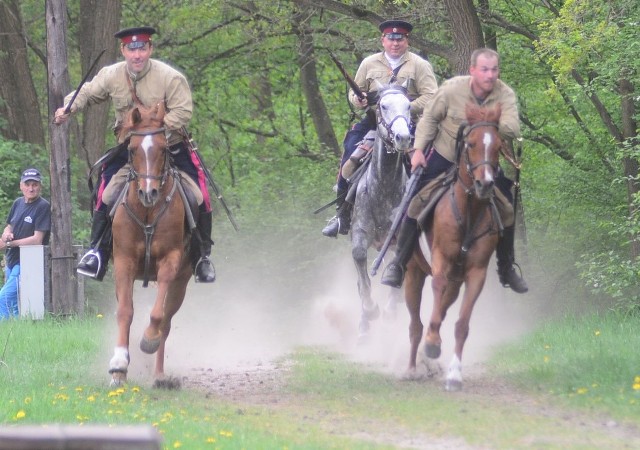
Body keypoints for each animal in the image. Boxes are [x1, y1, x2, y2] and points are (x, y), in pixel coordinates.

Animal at [107, 101, 191, 386]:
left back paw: (159, 374)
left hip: (181, 284)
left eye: (164, 149)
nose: (148, 192)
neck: (147, 212)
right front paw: (119, 365)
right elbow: (124, 311)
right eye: (132, 149)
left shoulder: (171, 260)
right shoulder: (123, 262)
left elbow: (158, 316)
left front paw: (148, 340)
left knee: (166, 321)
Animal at [408, 103, 508, 390]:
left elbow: (461, 325)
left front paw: (454, 374)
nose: (485, 184)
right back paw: (411, 367)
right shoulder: (440, 260)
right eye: (471, 143)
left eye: (498, 146)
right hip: (413, 274)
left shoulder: (476, 273)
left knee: (441, 310)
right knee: (415, 324)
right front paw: (432, 344)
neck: (470, 211)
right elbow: (436, 293)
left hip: (455, 283)